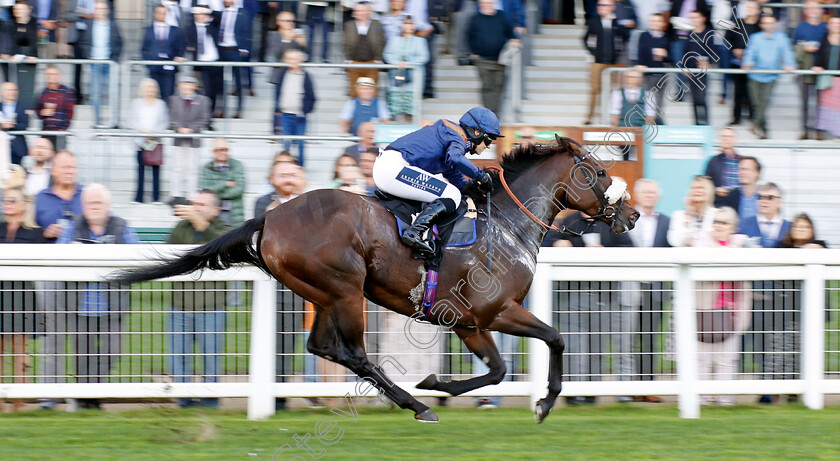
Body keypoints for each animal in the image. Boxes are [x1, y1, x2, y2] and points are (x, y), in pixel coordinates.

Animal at [111, 135, 636, 422]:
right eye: (598, 171)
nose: (630, 214)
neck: (504, 225)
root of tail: (272, 217)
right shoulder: (491, 313)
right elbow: (546, 343)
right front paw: (538, 402)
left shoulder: (472, 323)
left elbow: (501, 368)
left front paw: (446, 384)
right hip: (345, 289)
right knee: (355, 353)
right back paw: (416, 405)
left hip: (324, 292)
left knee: (324, 347)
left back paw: (412, 400)